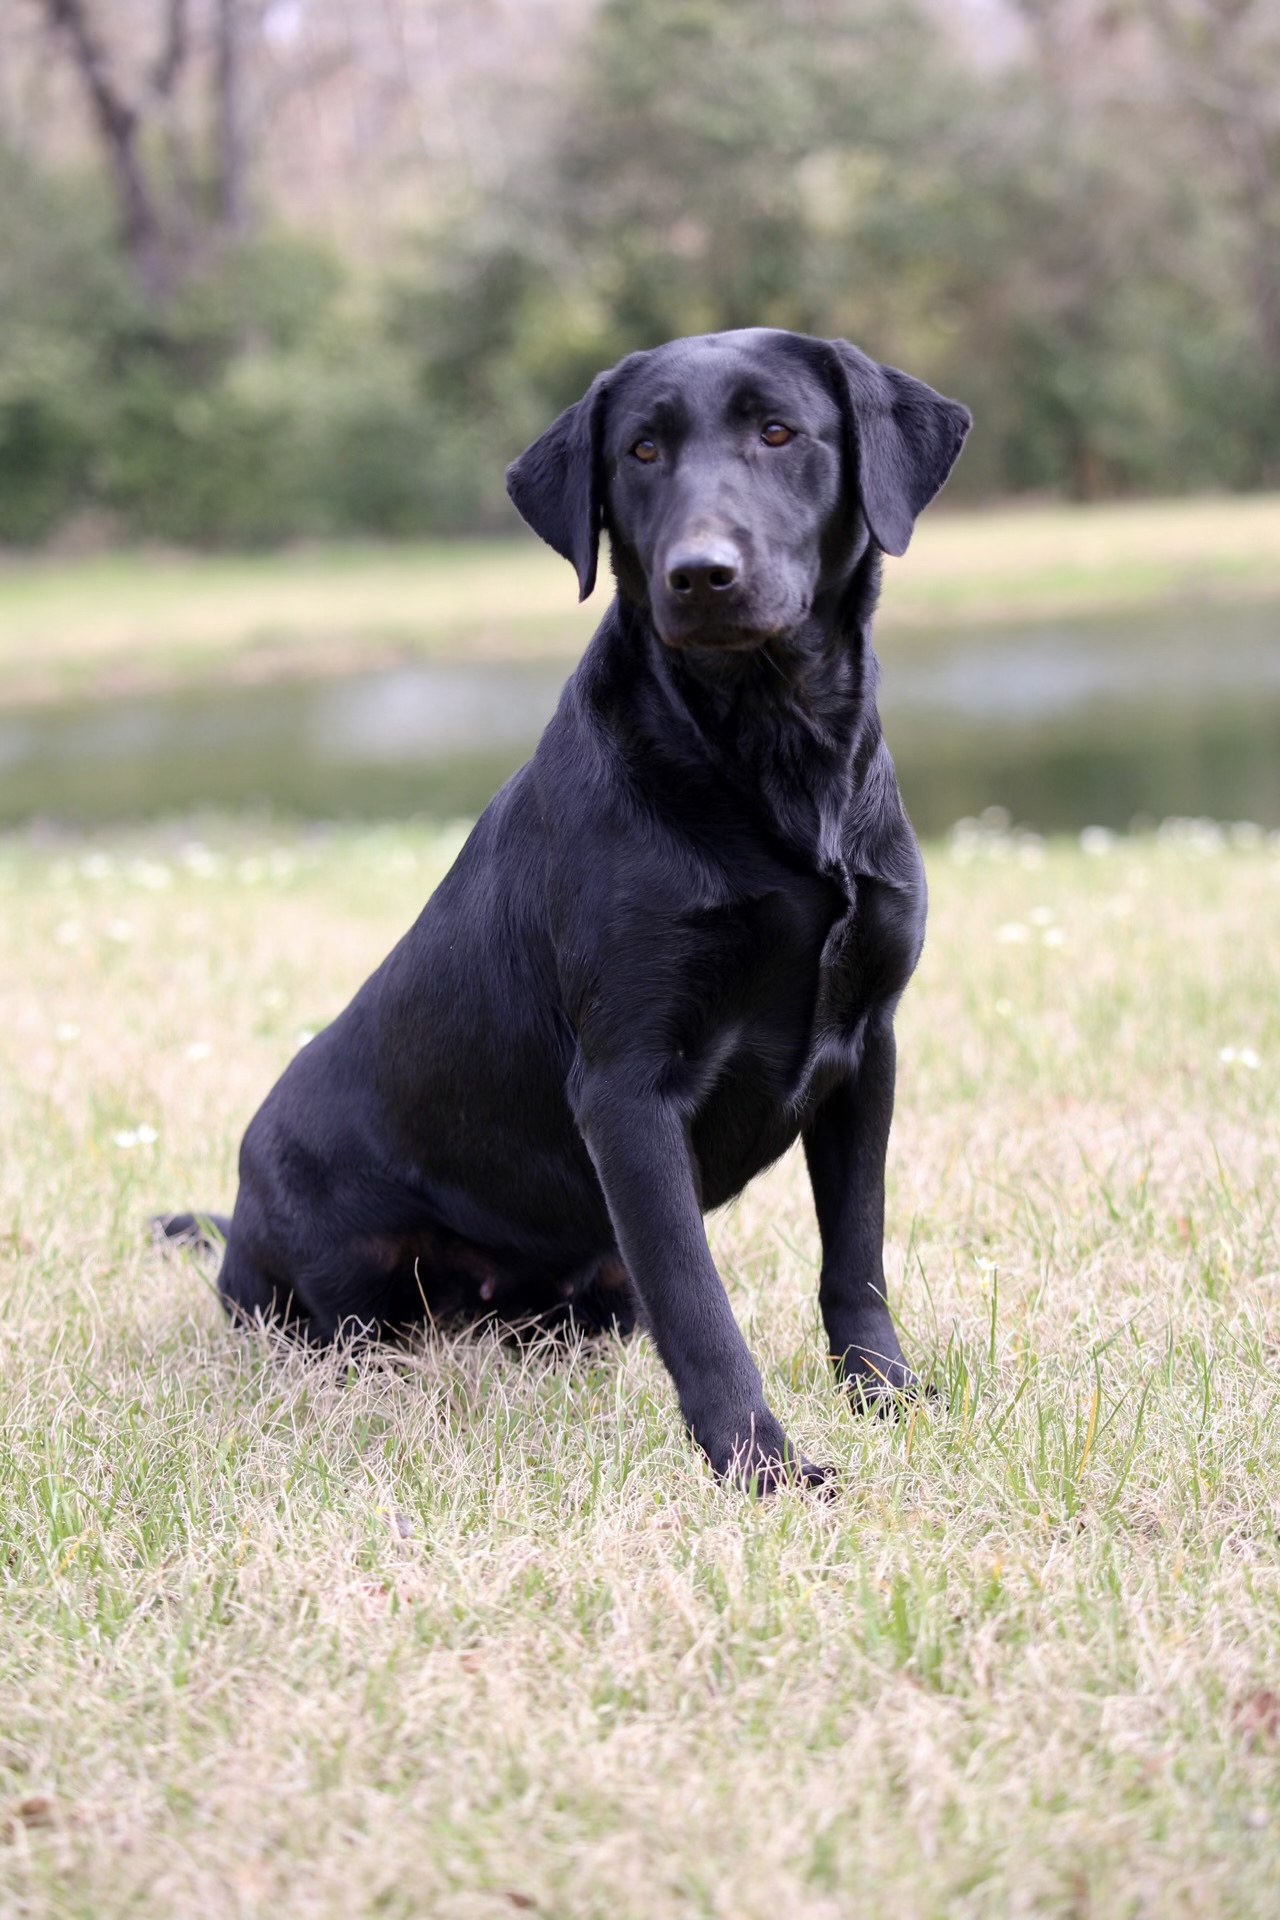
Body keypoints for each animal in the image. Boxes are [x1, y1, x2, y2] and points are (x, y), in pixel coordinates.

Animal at [160, 330, 967, 1482]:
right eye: (641, 450)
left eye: (779, 432)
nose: (700, 575)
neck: (769, 755)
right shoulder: (627, 1084)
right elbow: (699, 1303)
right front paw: (760, 1468)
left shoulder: (869, 1047)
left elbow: (853, 1256)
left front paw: (885, 1396)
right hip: (341, 1266)